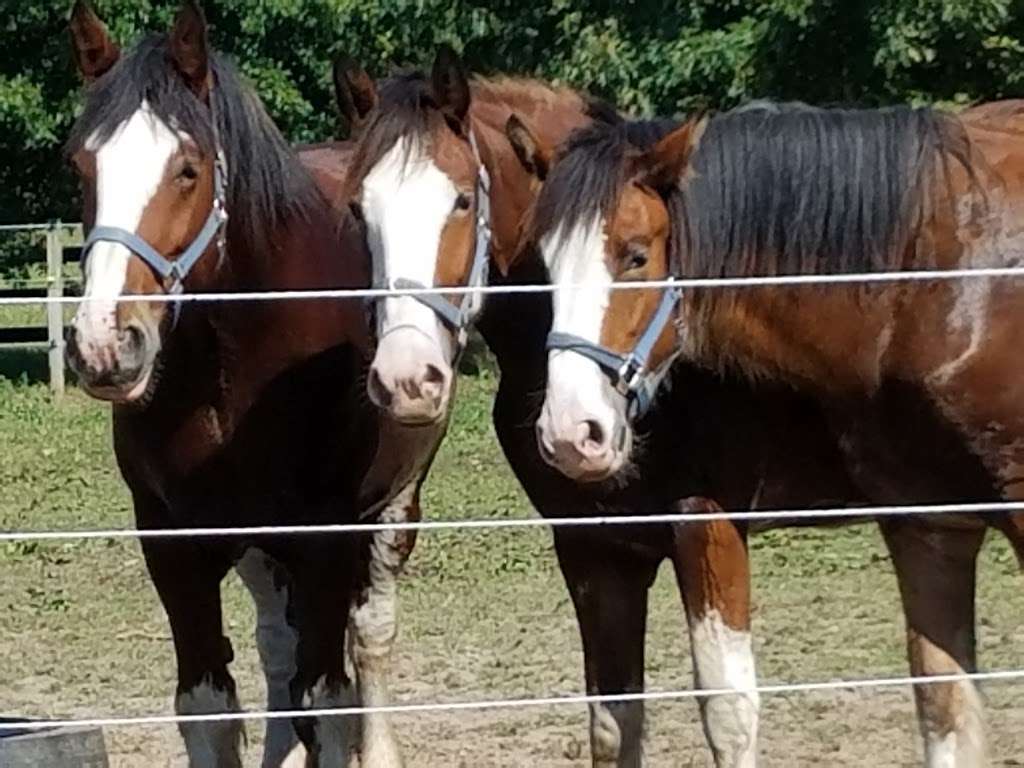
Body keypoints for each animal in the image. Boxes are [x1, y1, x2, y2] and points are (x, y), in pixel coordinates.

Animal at [524, 103, 1024, 768]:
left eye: (635, 256)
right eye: (544, 266)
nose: (571, 433)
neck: (944, 283)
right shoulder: (929, 529)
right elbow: (947, 722)